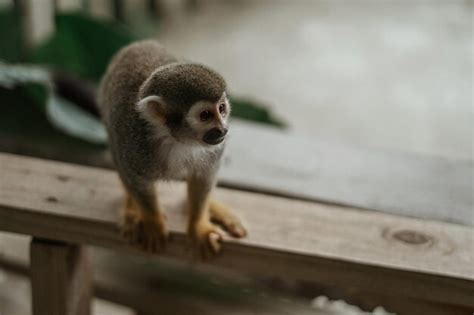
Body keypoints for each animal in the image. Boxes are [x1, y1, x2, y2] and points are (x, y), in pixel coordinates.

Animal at [98, 39, 250, 258]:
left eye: (221, 109)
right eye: (205, 115)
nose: (223, 129)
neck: (177, 140)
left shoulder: (215, 149)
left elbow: (204, 177)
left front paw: (199, 225)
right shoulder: (132, 141)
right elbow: (134, 177)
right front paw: (152, 221)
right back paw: (132, 209)